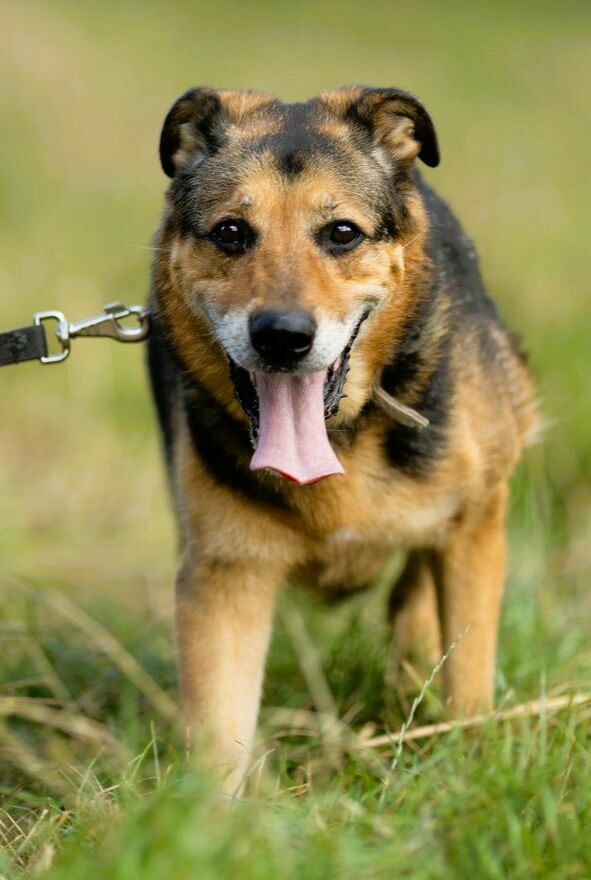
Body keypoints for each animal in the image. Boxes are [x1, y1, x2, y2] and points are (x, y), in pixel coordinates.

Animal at [147, 86, 537, 790]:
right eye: (231, 232)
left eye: (342, 233)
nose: (282, 336)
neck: (338, 442)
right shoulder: (224, 575)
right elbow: (219, 729)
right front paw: (207, 816)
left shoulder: (476, 523)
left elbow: (469, 673)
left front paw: (471, 764)